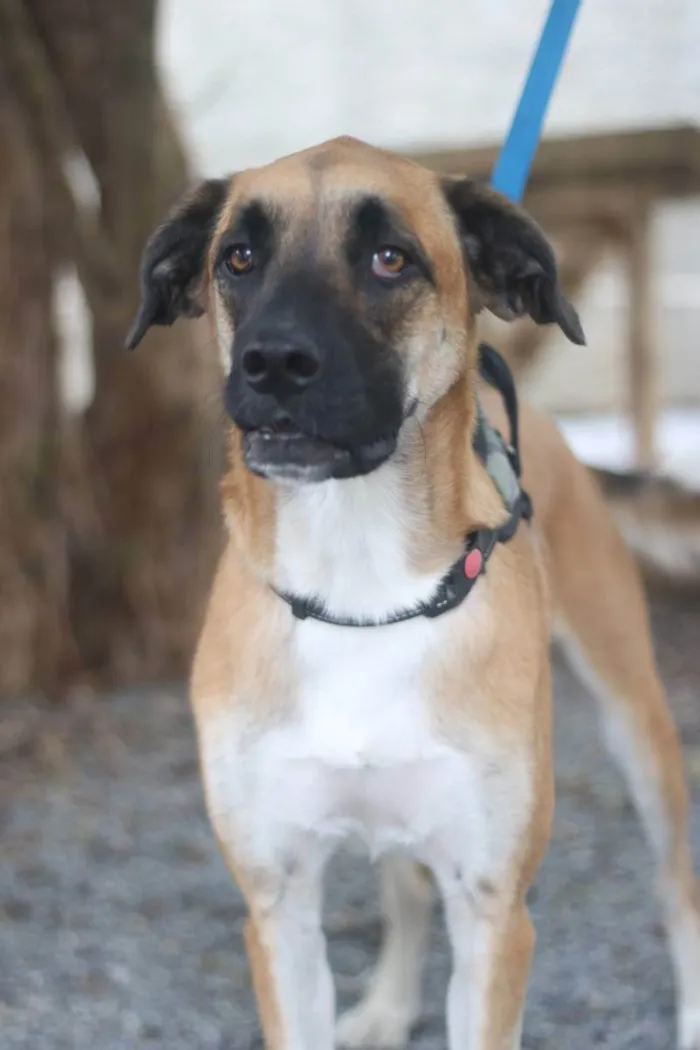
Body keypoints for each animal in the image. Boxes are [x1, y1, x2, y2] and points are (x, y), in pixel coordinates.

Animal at [125, 135, 700, 1045]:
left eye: (391, 259)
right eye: (238, 258)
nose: (273, 362)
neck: (360, 584)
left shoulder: (495, 911)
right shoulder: (278, 906)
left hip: (636, 716)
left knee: (677, 886)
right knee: (404, 890)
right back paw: (390, 1006)